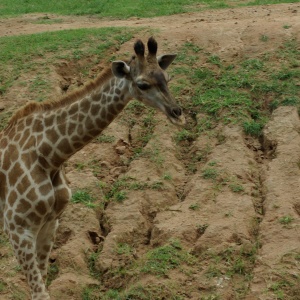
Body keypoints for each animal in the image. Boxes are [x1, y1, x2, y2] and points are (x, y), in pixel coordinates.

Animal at [0, 36, 185, 298]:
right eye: (142, 84)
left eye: (166, 78)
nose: (177, 114)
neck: (49, 155)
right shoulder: (17, 228)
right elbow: (39, 292)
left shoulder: (50, 222)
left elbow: (43, 283)